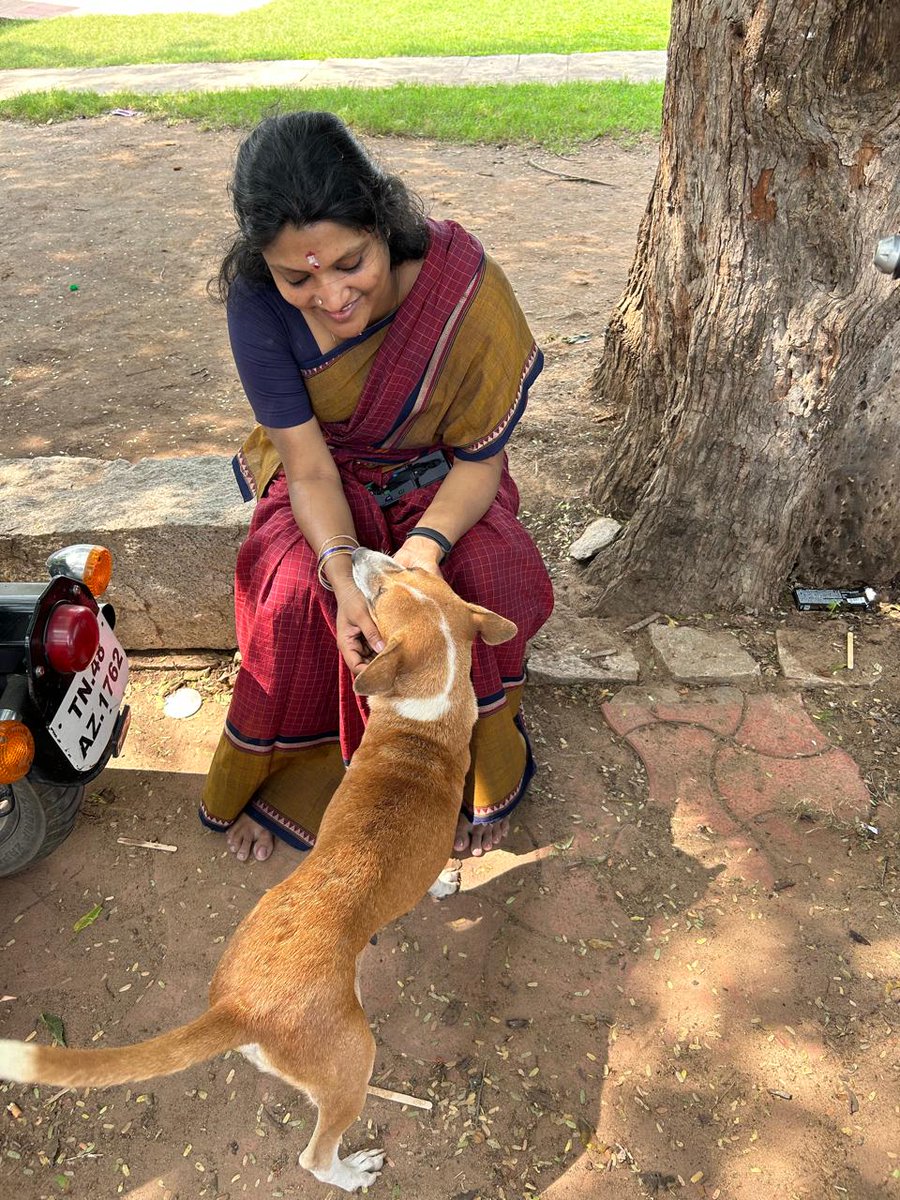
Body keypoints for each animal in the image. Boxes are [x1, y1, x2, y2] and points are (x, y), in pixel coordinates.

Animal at [0, 549, 518, 1190]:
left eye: (405, 574)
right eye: (383, 584)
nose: (355, 554)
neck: (421, 719)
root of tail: (238, 1007)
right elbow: (440, 872)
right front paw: (447, 881)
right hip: (353, 1060)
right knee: (314, 1156)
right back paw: (352, 1171)